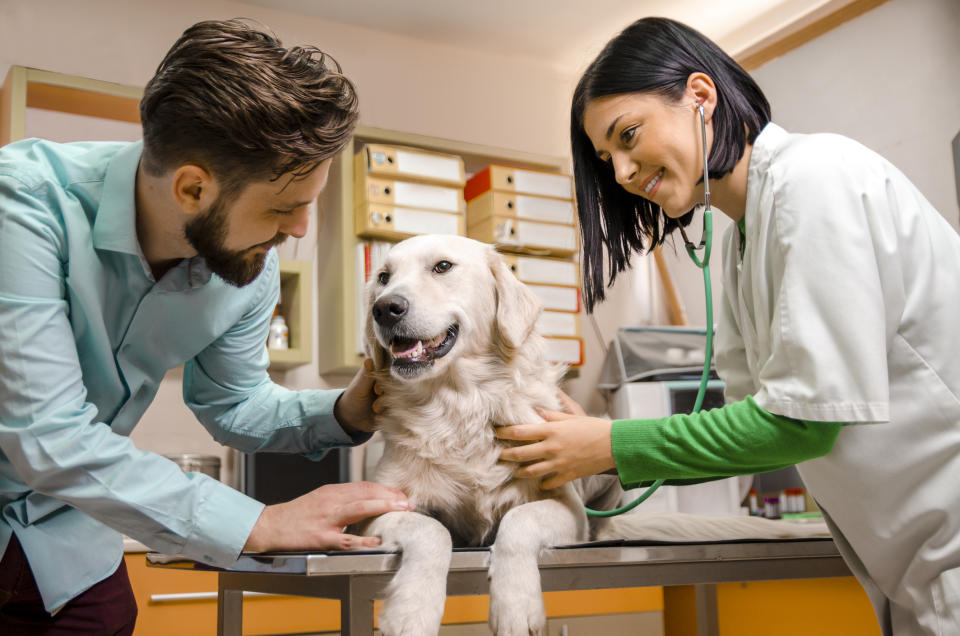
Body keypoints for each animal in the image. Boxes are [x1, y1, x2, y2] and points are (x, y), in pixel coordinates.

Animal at [360, 235, 624, 636]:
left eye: (442, 266)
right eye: (383, 277)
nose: (385, 308)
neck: (461, 406)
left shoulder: (568, 508)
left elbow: (519, 522)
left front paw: (516, 605)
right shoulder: (377, 513)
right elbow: (430, 531)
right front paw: (411, 611)